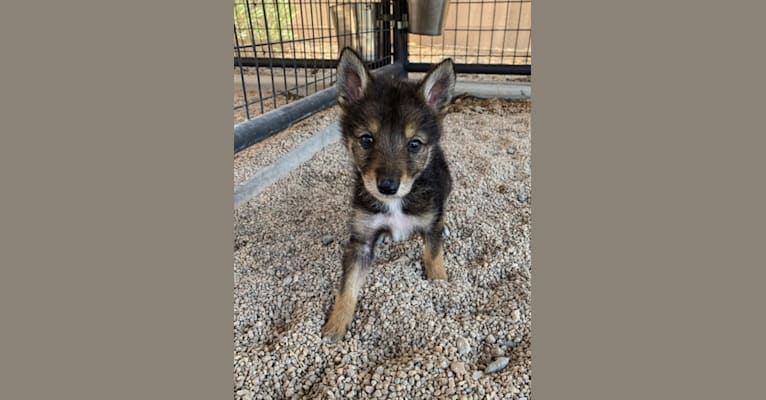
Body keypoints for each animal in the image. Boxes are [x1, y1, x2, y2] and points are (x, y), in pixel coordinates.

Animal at [322, 48, 456, 340]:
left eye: (414, 144)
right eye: (366, 139)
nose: (386, 186)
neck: (395, 203)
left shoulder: (430, 226)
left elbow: (434, 256)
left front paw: (440, 283)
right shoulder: (360, 241)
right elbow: (347, 286)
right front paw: (335, 325)